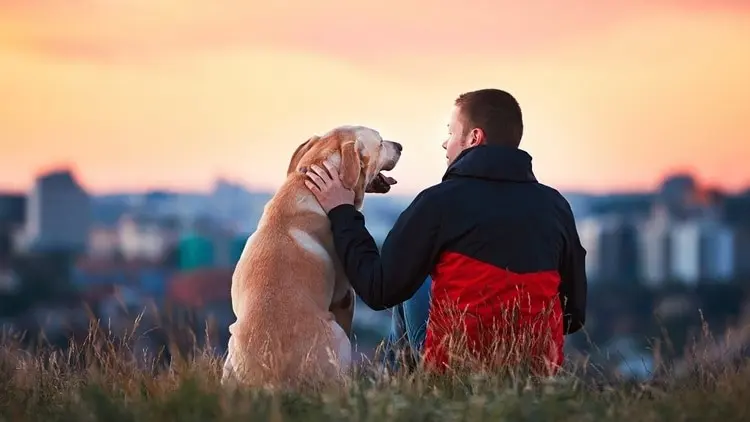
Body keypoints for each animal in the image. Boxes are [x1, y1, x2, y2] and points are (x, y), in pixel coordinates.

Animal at [222, 125, 402, 390]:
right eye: (380, 143)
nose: (400, 146)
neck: (306, 186)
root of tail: (272, 381)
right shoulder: (345, 296)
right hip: (337, 335)